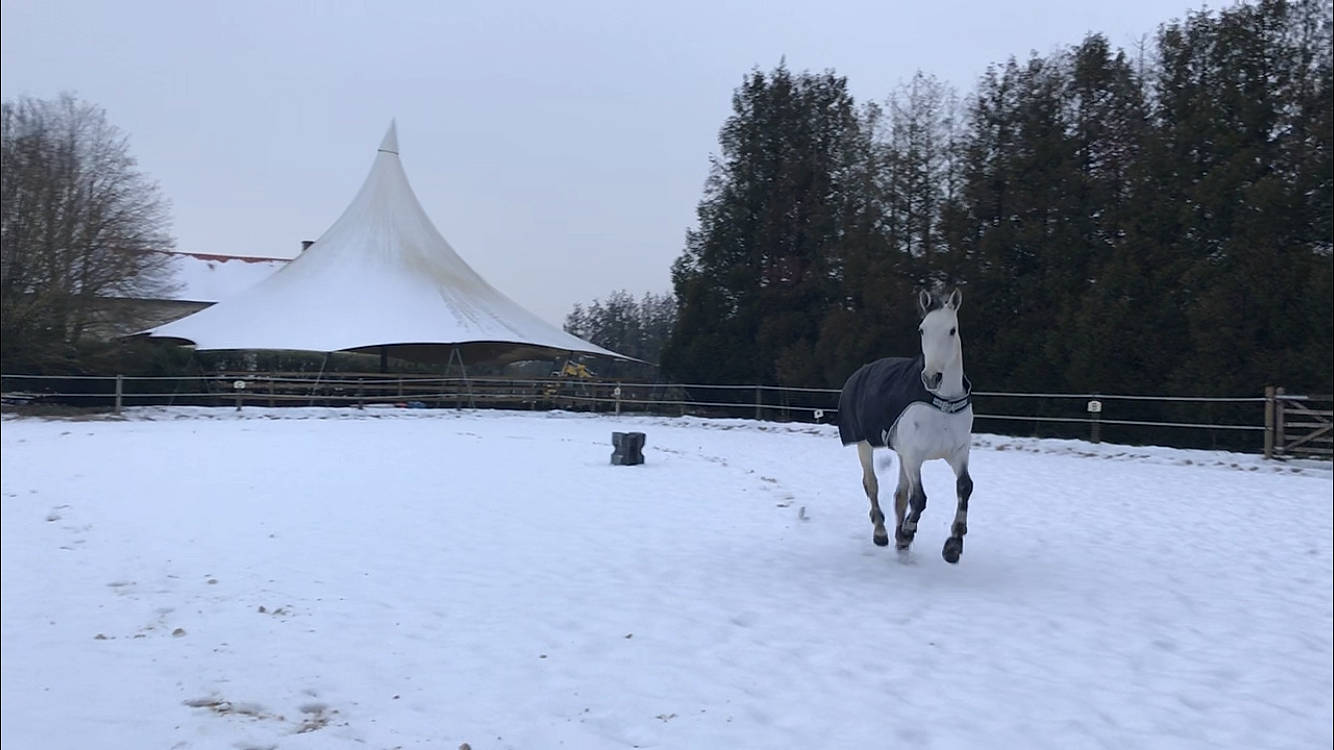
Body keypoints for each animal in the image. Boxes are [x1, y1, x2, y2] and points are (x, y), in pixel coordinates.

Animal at [836, 288, 974, 563]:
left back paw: (900, 542)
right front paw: (908, 530)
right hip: (864, 444)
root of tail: (860, 372)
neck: (941, 402)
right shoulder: (914, 456)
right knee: (872, 485)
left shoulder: (957, 453)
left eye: (952, 330)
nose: (932, 377)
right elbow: (919, 498)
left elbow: (964, 487)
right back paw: (882, 532)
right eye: (922, 329)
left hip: (899, 452)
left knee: (899, 495)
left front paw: (953, 544)